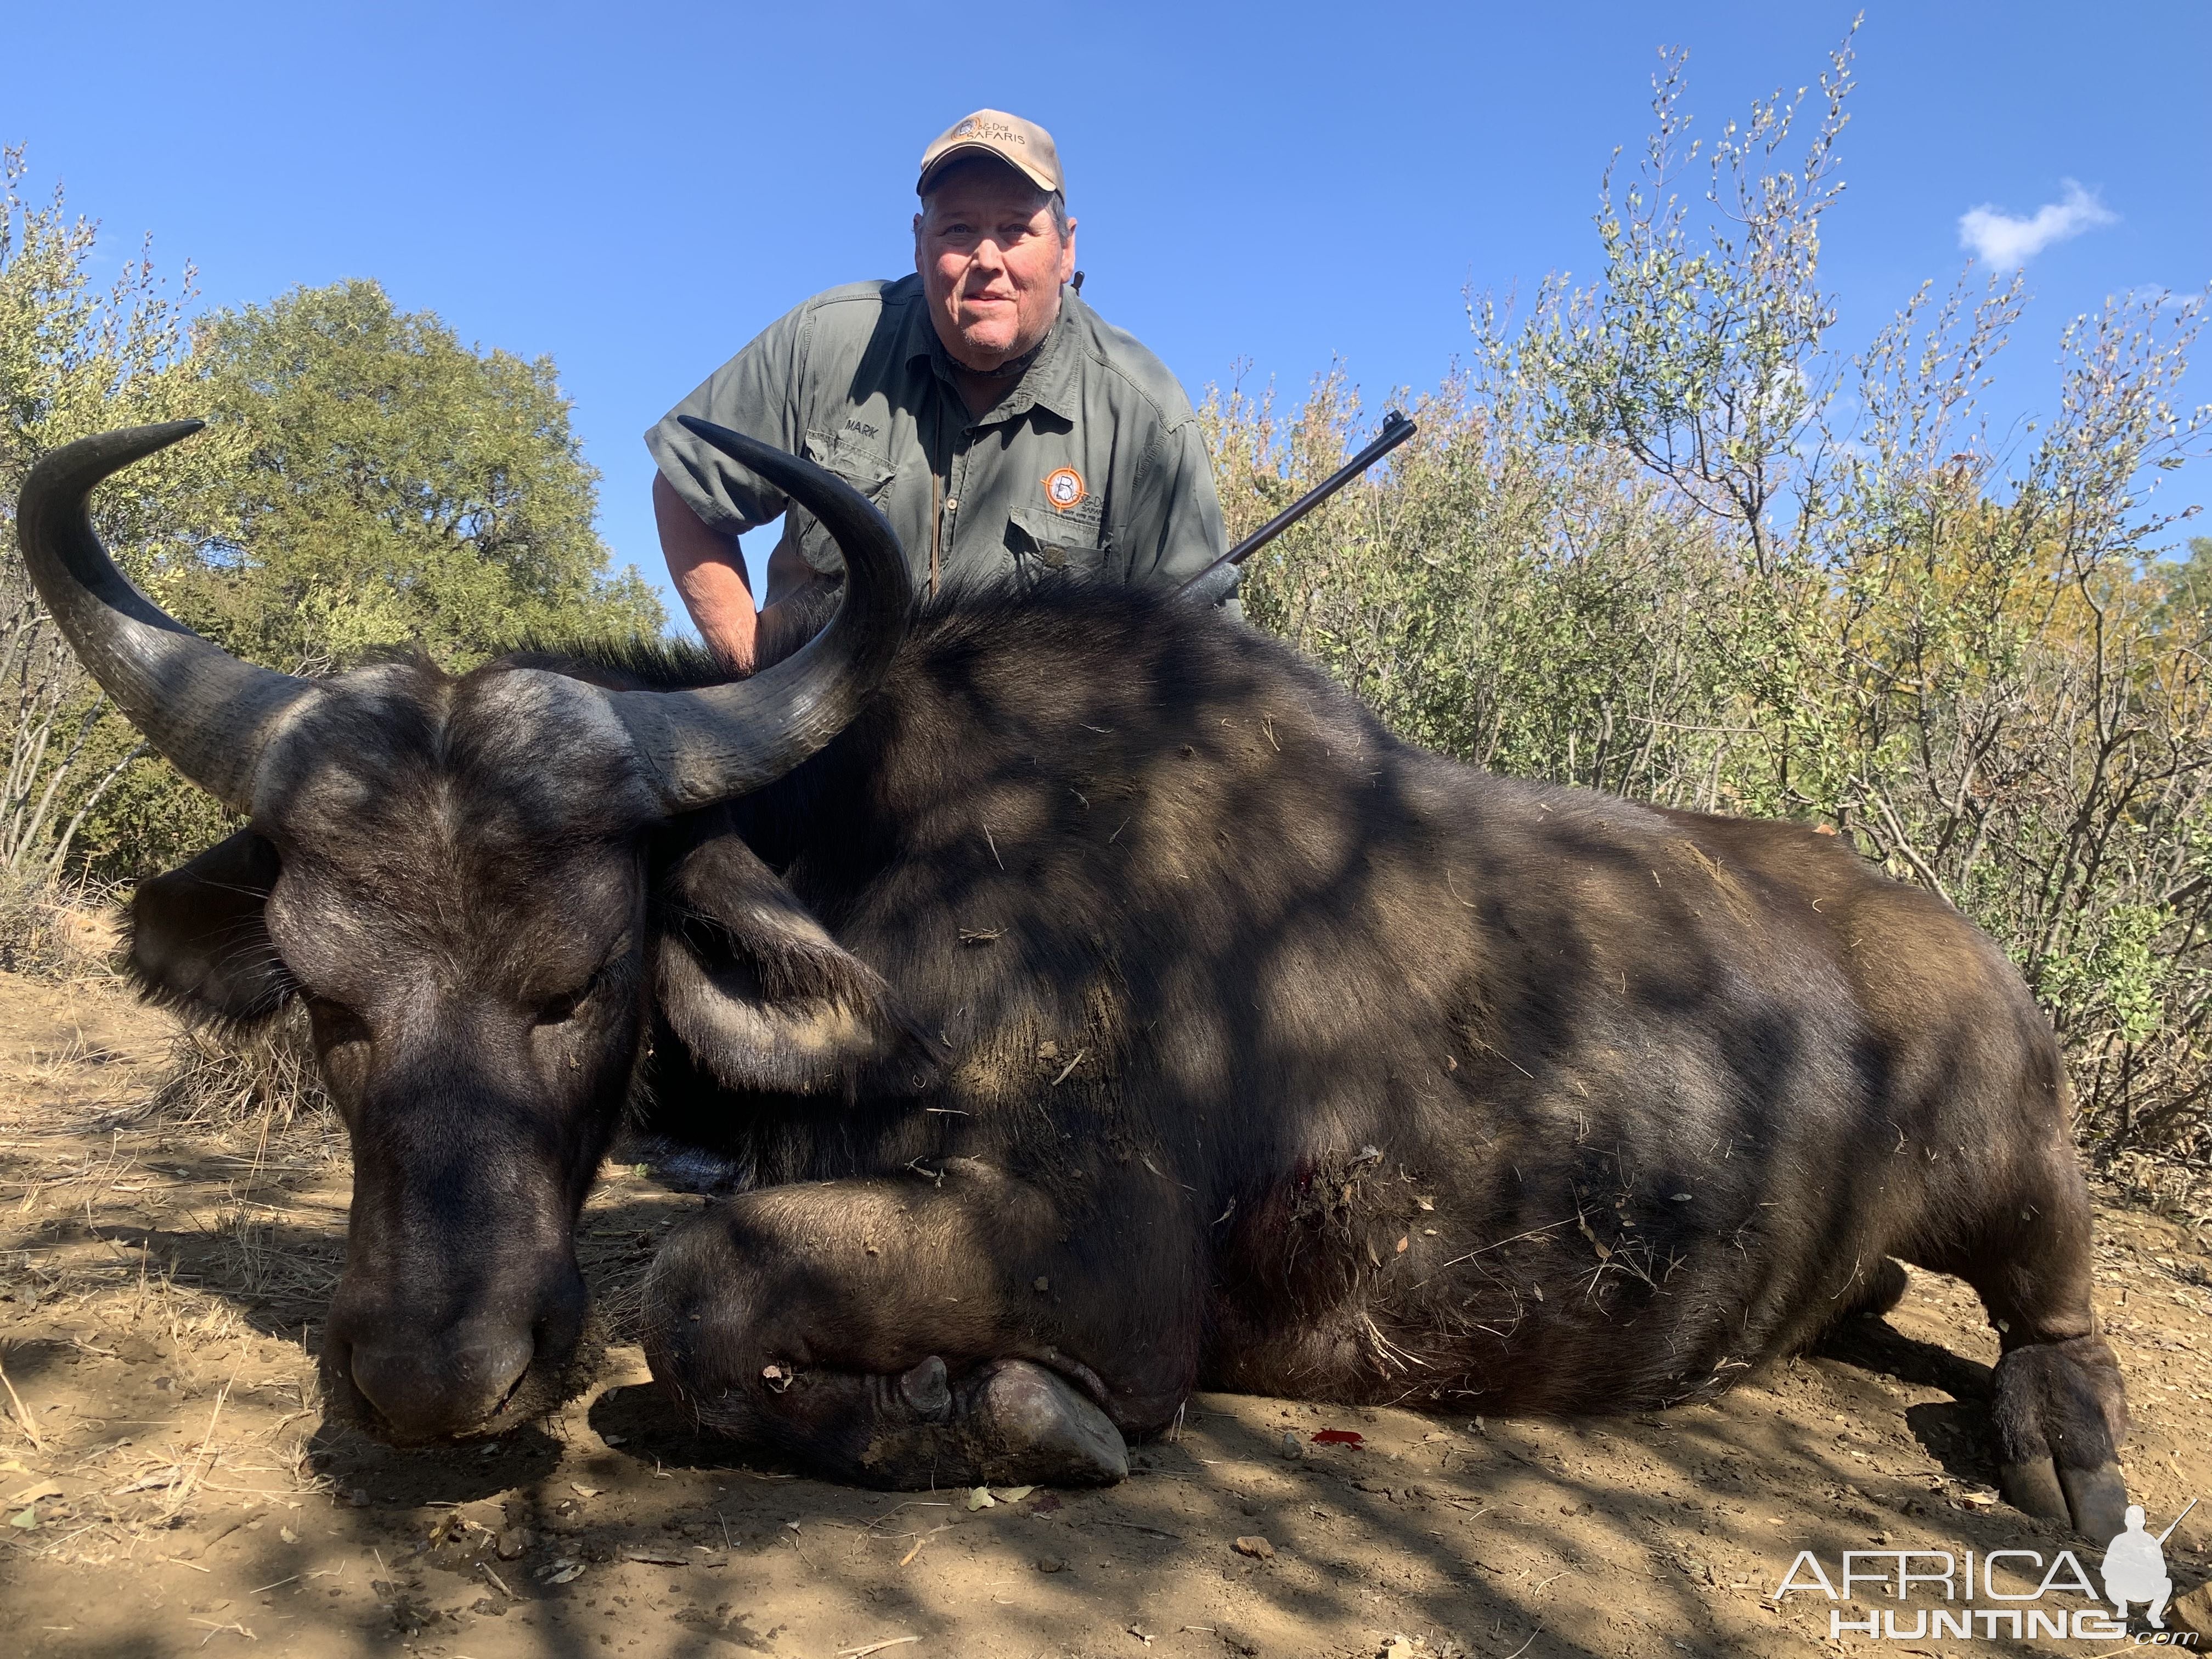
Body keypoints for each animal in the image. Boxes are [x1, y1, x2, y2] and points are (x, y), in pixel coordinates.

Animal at [13, 422, 2123, 1539]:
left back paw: (2074, 1459)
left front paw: (1007, 1414)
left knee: (2055, 1315)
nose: (433, 1376)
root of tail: (1953, 949)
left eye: (577, 978)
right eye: (323, 993)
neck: (887, 851)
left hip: (2019, 1178)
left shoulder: (1106, 1259)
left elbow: (702, 1290)